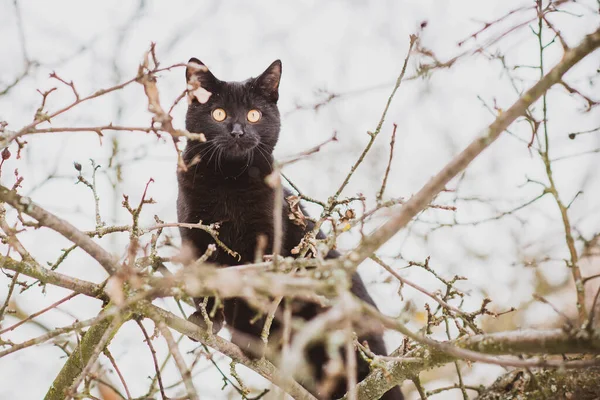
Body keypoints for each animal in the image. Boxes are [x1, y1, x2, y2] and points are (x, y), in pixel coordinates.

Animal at [178, 57, 404, 400]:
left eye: (254, 114)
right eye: (218, 114)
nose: (238, 131)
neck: (229, 182)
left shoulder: (269, 241)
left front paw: (255, 341)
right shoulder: (195, 236)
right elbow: (206, 288)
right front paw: (206, 322)